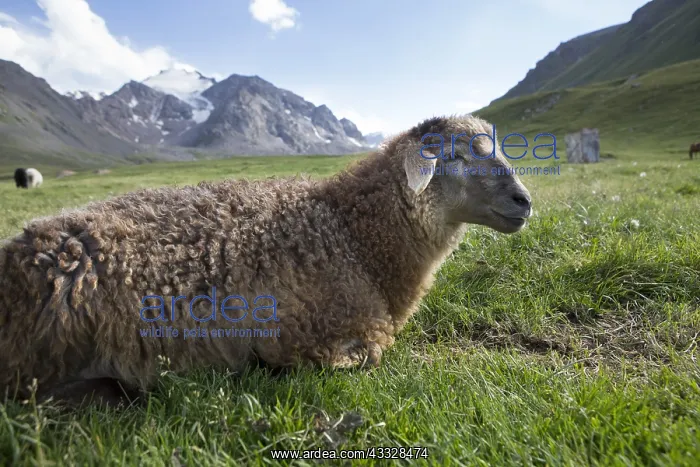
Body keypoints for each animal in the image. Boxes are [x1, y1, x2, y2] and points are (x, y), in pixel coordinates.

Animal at [0, 114, 532, 408]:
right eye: (456, 155)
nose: (524, 200)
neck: (349, 230)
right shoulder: (325, 332)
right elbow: (358, 358)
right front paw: (265, 367)